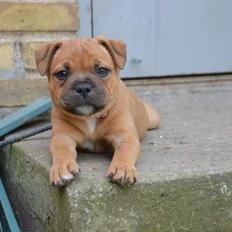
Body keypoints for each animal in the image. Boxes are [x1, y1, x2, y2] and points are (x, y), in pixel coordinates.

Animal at [35, 36, 160, 187]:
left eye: (102, 70)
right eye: (62, 74)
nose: (83, 87)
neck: (91, 116)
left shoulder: (125, 136)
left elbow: (124, 151)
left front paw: (122, 168)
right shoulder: (62, 136)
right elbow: (62, 150)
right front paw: (61, 168)